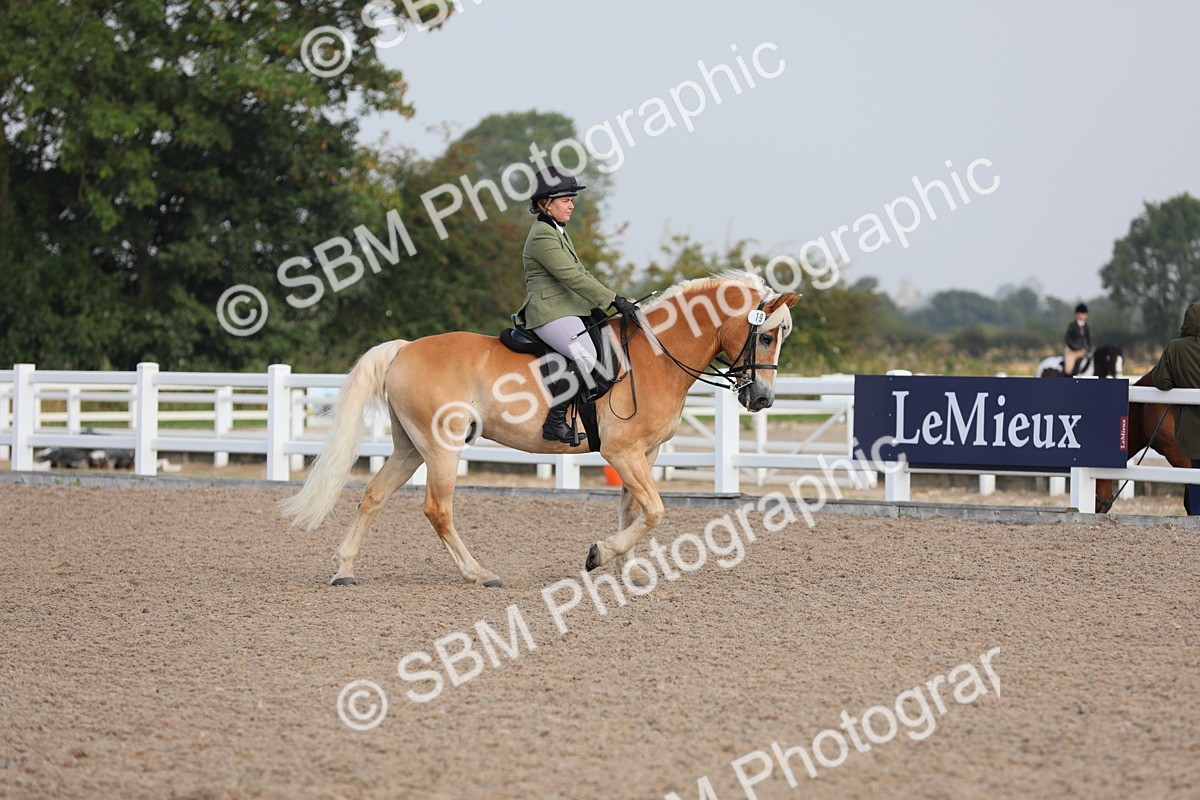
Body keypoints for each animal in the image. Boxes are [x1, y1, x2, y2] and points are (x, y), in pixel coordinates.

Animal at [280, 270, 799, 586]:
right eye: (766, 335)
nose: (762, 399)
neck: (655, 353)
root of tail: (405, 348)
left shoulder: (644, 454)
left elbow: (634, 510)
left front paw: (628, 570)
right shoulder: (622, 452)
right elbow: (654, 510)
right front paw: (599, 555)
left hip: (410, 446)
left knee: (373, 496)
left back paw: (344, 570)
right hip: (441, 447)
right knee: (437, 510)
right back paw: (479, 573)